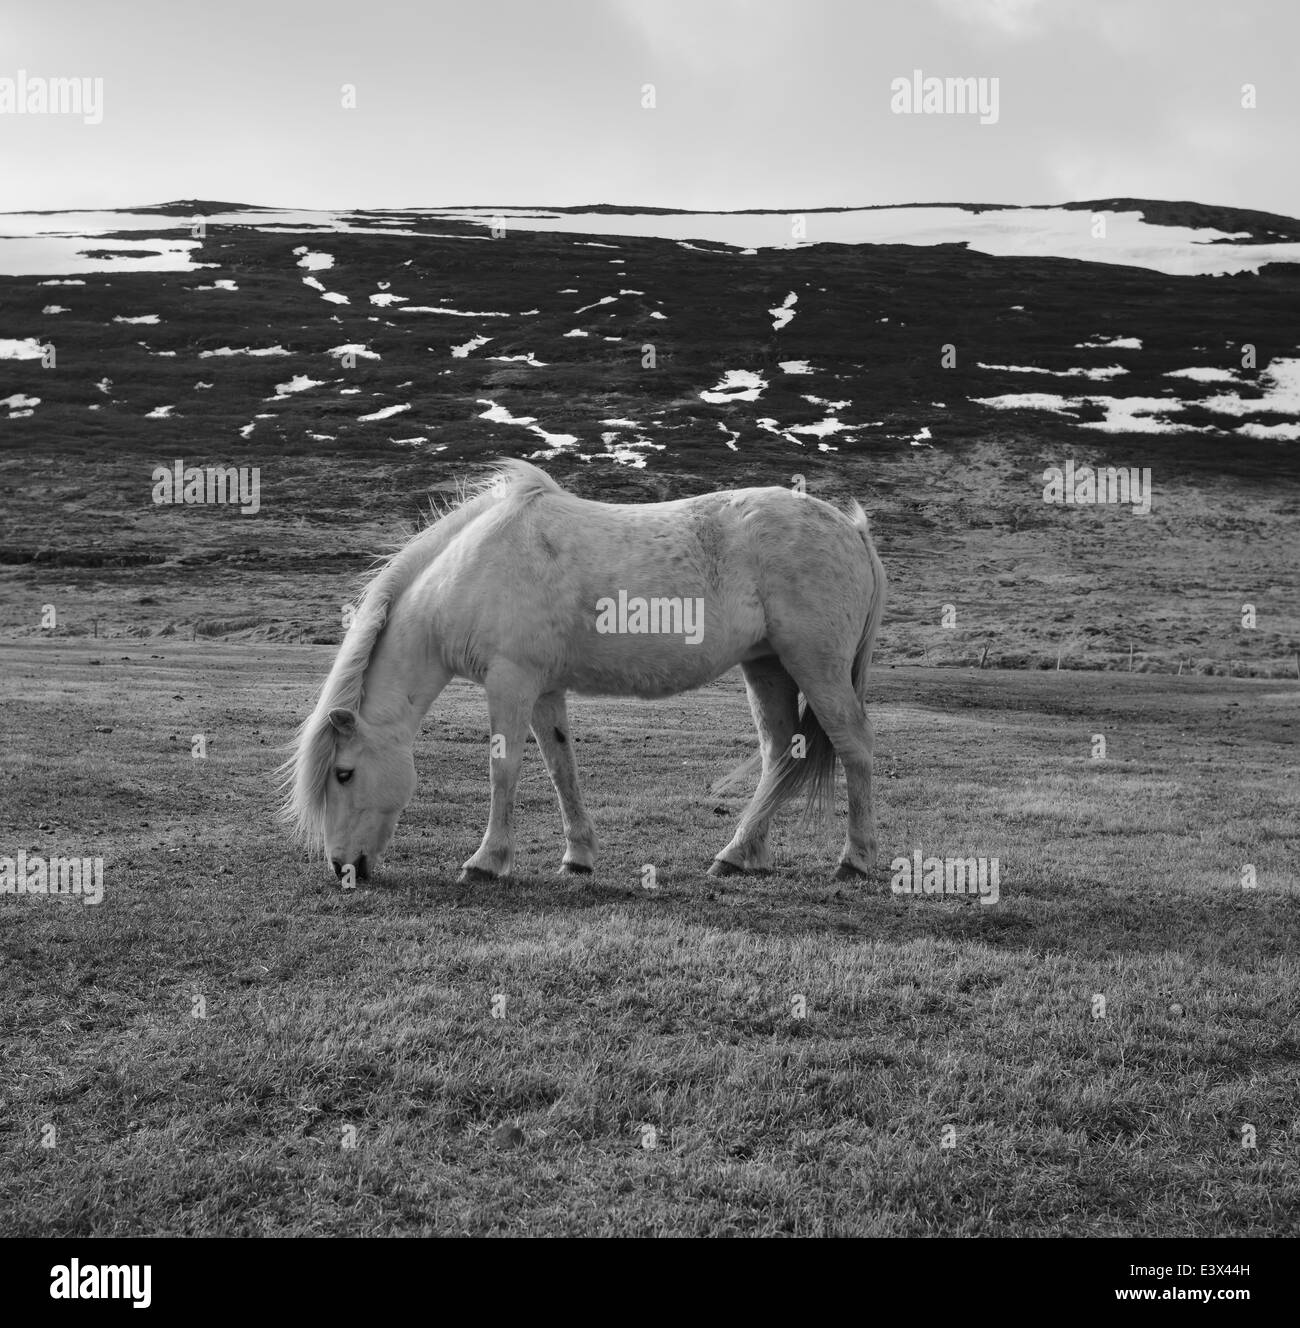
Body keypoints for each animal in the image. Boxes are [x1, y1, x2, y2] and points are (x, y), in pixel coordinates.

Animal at [280, 460, 886, 884]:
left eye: (344, 774)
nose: (343, 869)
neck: (470, 570)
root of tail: (851, 528)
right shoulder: (544, 688)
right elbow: (560, 767)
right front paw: (578, 857)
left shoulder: (510, 682)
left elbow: (505, 769)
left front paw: (486, 860)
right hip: (767, 666)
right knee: (782, 752)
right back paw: (739, 855)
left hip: (816, 666)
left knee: (854, 747)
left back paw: (854, 860)